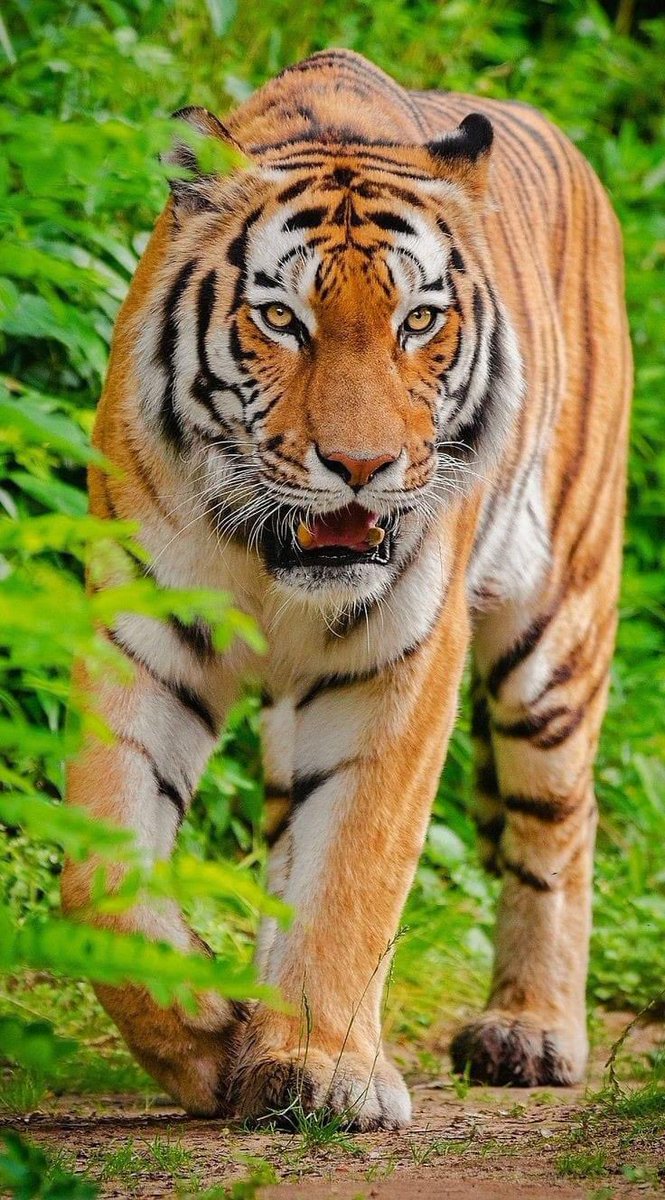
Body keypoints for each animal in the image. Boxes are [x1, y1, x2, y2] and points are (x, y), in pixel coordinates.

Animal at [62, 48, 631, 1129]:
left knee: (555, 824)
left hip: (555, 632)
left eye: (419, 321)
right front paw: (212, 1040)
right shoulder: (144, 631)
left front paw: (323, 1066)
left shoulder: (397, 658)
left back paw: (529, 1032)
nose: (362, 467)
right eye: (281, 319)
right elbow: (103, 872)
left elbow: (356, 867)